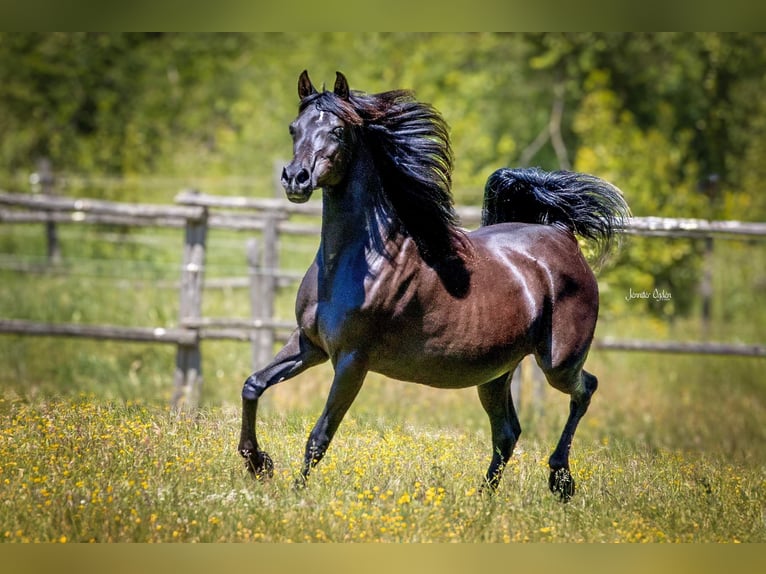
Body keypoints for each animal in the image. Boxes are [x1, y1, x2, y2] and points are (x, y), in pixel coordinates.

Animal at [238, 70, 629, 501]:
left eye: (338, 130)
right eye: (294, 128)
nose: (296, 179)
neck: (359, 260)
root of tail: (562, 234)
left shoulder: (352, 360)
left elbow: (320, 435)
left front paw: (295, 493)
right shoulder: (310, 345)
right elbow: (253, 385)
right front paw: (257, 464)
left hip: (558, 361)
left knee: (585, 389)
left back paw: (560, 479)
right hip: (495, 373)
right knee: (507, 433)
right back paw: (482, 502)